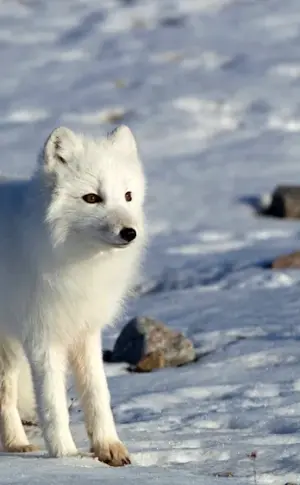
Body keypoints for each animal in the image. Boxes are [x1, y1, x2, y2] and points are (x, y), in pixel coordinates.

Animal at [0, 125, 146, 466]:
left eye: (128, 195)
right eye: (92, 198)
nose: (129, 233)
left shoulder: (85, 331)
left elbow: (97, 394)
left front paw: (109, 447)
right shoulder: (42, 337)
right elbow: (53, 403)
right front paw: (66, 457)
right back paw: (16, 442)